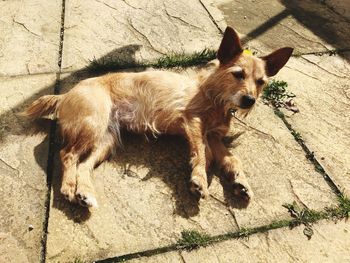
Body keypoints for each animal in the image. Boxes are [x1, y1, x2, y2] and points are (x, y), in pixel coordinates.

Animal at [23, 26, 292, 208]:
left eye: (261, 82)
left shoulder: (214, 136)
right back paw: (69, 187)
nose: (249, 100)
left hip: (106, 141)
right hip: (92, 125)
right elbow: (201, 153)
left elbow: (232, 158)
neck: (215, 97)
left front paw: (240, 182)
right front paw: (199, 179)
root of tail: (66, 93)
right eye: (238, 74)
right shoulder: (193, 122)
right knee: (67, 154)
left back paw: (84, 193)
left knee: (83, 164)